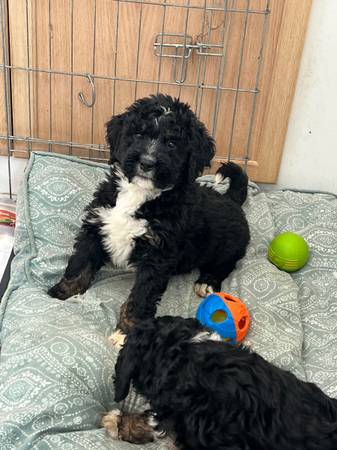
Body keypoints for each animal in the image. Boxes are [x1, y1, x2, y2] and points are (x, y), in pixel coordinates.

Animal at [48, 95, 249, 332]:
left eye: (172, 143)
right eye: (138, 134)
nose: (147, 162)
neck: (140, 194)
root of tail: (231, 199)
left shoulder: (157, 255)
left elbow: (141, 295)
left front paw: (129, 328)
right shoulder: (97, 224)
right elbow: (81, 263)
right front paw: (61, 292)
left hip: (228, 245)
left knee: (226, 263)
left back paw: (207, 282)